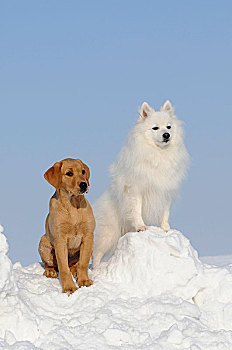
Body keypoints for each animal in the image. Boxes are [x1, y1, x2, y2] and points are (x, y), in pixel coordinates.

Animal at [39, 158, 95, 292]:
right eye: (69, 173)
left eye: (83, 171)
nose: (84, 184)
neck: (73, 205)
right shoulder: (60, 240)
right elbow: (63, 268)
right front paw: (69, 288)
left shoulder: (88, 236)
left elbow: (83, 263)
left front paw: (84, 281)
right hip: (43, 243)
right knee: (50, 264)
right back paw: (50, 272)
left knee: (75, 265)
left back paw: (76, 272)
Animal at [91, 101, 189, 268]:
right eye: (155, 128)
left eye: (168, 127)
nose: (166, 135)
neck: (158, 154)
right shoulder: (135, 190)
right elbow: (136, 210)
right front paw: (141, 227)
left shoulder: (166, 192)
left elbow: (165, 213)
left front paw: (166, 229)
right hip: (108, 234)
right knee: (96, 254)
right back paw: (95, 269)